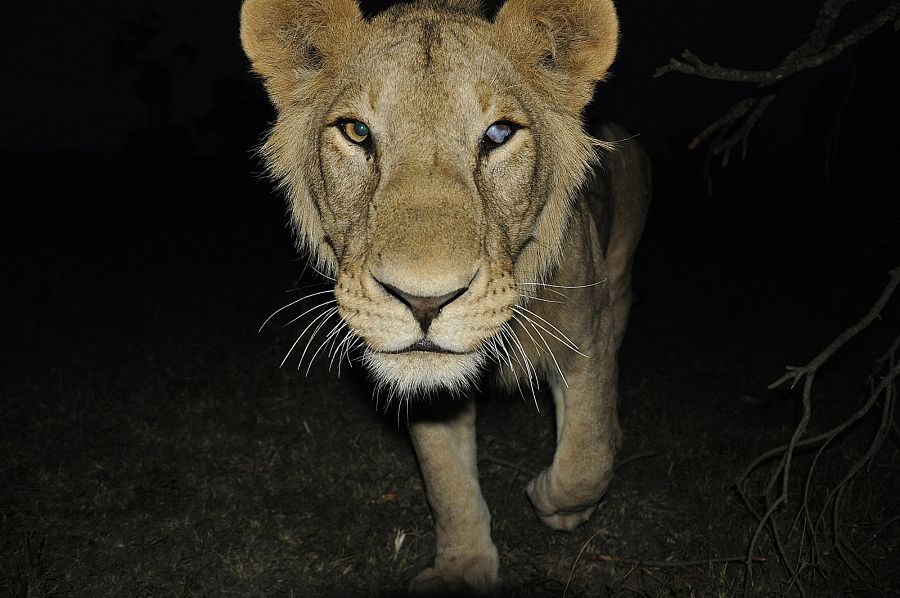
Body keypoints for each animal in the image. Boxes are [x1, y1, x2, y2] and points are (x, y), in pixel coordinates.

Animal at [241, 0, 651, 592]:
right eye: (356, 132)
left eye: (499, 133)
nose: (424, 302)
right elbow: (448, 485)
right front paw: (462, 569)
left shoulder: (586, 342)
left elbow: (585, 459)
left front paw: (554, 503)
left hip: (619, 276)